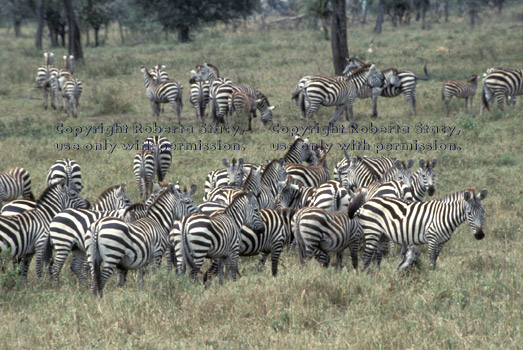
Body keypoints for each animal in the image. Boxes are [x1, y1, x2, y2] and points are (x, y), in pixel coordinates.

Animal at [358, 187, 490, 270]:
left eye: (483, 211)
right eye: (469, 213)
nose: (480, 235)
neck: (444, 216)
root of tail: (366, 203)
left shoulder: (441, 242)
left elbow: (435, 259)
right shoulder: (432, 238)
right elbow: (431, 260)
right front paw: (432, 280)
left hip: (381, 236)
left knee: (377, 257)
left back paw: (377, 274)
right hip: (371, 232)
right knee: (366, 257)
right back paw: (366, 277)